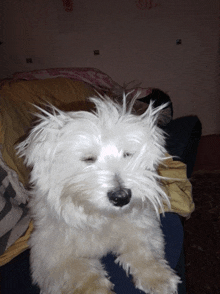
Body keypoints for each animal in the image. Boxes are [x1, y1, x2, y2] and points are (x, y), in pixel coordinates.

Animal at [16, 94, 179, 294]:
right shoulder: (50, 254)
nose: (121, 197)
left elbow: (143, 250)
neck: (101, 216)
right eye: (88, 159)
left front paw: (158, 278)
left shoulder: (140, 225)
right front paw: (96, 288)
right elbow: (80, 273)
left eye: (127, 154)